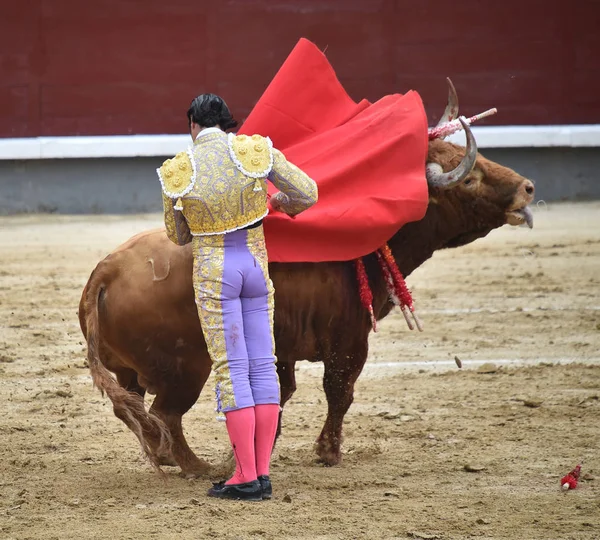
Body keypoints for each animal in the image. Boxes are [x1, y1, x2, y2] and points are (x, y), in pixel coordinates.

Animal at [78, 118, 536, 476]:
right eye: (470, 178)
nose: (528, 189)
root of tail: (106, 271)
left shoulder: (281, 348)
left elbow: (279, 394)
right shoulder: (349, 341)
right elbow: (339, 392)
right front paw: (328, 452)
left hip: (131, 371)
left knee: (135, 409)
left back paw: (169, 457)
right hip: (186, 368)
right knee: (165, 413)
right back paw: (196, 467)